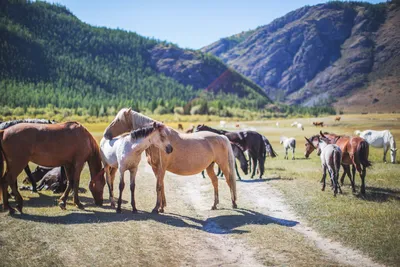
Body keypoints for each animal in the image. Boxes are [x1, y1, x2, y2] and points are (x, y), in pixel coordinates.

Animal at [102, 109, 238, 214]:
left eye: (118, 120)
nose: (106, 134)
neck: (157, 144)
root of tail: (222, 136)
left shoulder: (161, 168)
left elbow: (158, 186)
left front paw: (156, 208)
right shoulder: (156, 168)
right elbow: (161, 185)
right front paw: (162, 207)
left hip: (223, 164)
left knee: (229, 180)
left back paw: (234, 203)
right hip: (210, 166)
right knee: (215, 181)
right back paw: (214, 205)